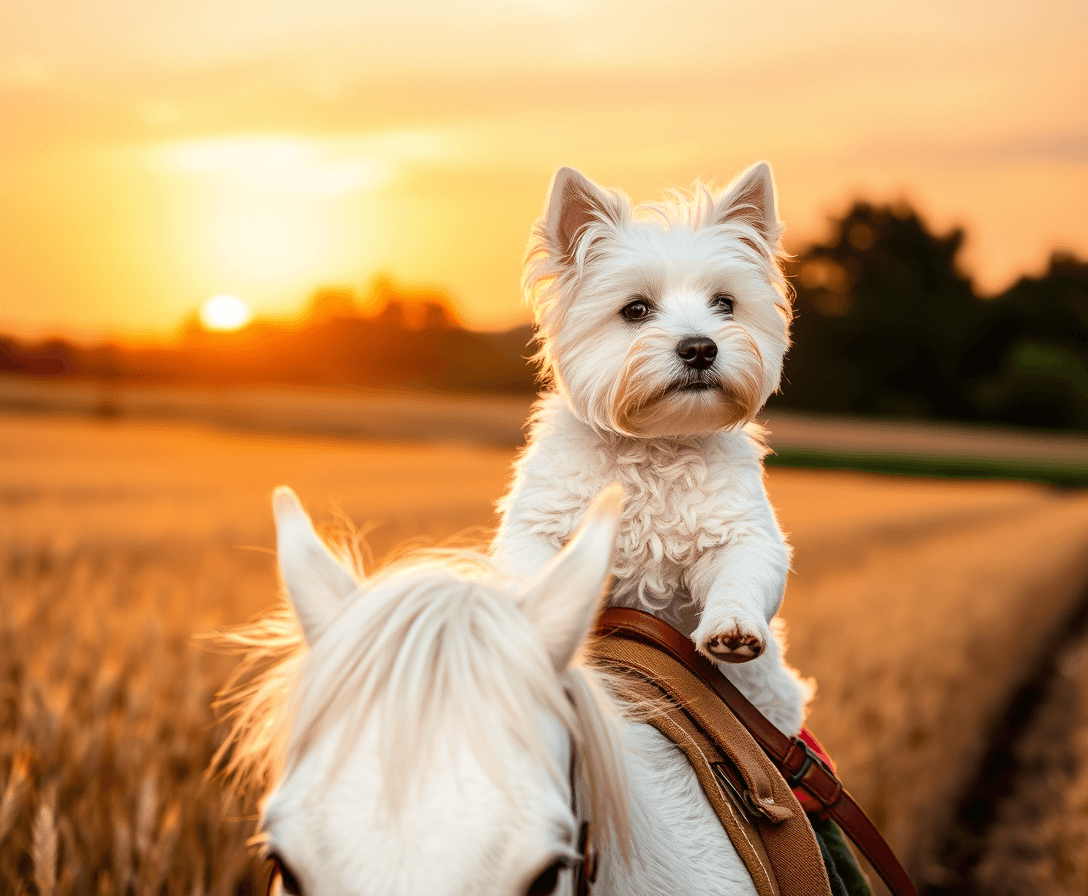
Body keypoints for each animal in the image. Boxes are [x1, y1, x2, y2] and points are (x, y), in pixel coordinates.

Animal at [498, 163, 813, 735]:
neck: (654, 446)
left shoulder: (744, 536)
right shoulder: (536, 528)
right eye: (636, 309)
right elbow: (536, 575)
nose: (700, 347)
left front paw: (733, 627)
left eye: (725, 304)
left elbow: (741, 576)